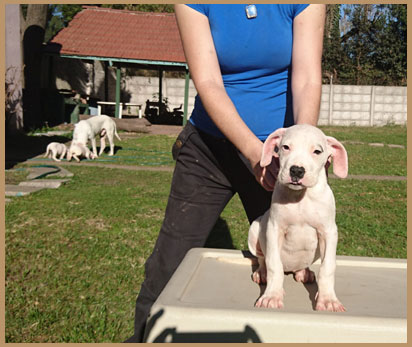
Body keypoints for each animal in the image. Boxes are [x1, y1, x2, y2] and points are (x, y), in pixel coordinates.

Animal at [248, 124, 348, 312]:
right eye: (285, 147)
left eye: (317, 151)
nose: (296, 170)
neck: (301, 197)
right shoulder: (274, 229)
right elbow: (274, 264)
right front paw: (272, 296)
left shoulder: (328, 232)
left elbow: (327, 268)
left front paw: (328, 300)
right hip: (255, 229)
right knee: (262, 259)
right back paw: (262, 274)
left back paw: (304, 272)